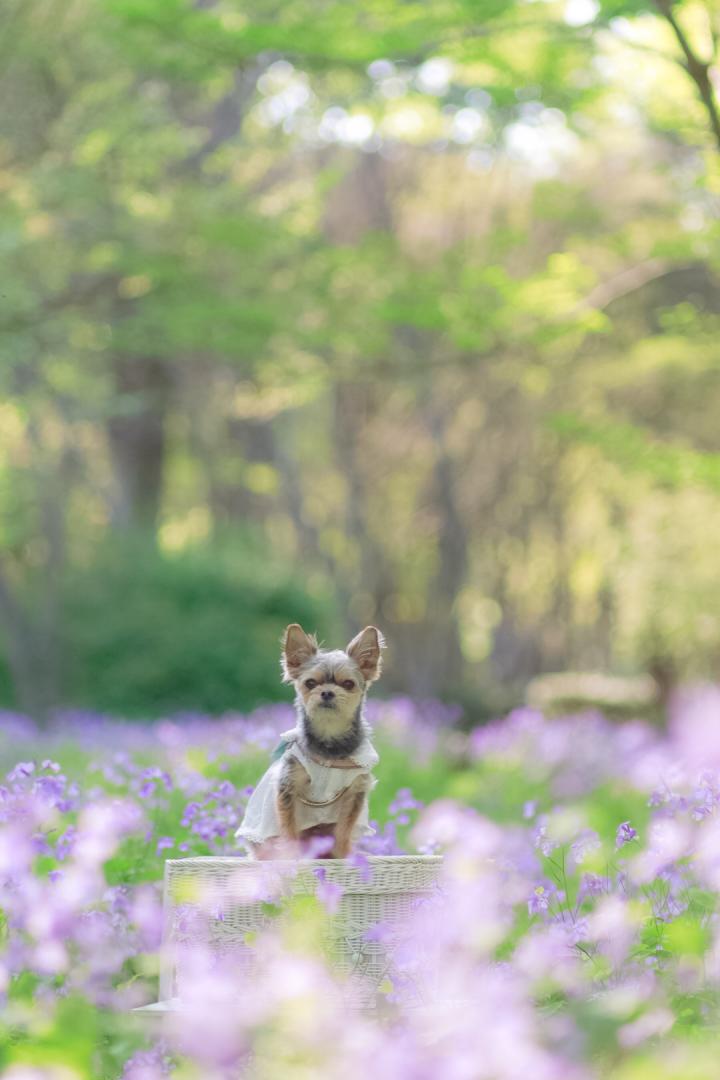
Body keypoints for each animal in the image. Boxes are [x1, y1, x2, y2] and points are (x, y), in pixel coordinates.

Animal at [236, 626, 386, 859]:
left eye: (348, 684)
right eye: (311, 683)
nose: (327, 692)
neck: (329, 742)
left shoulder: (354, 792)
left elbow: (344, 829)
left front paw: (342, 856)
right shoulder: (289, 788)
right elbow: (289, 830)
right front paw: (291, 856)